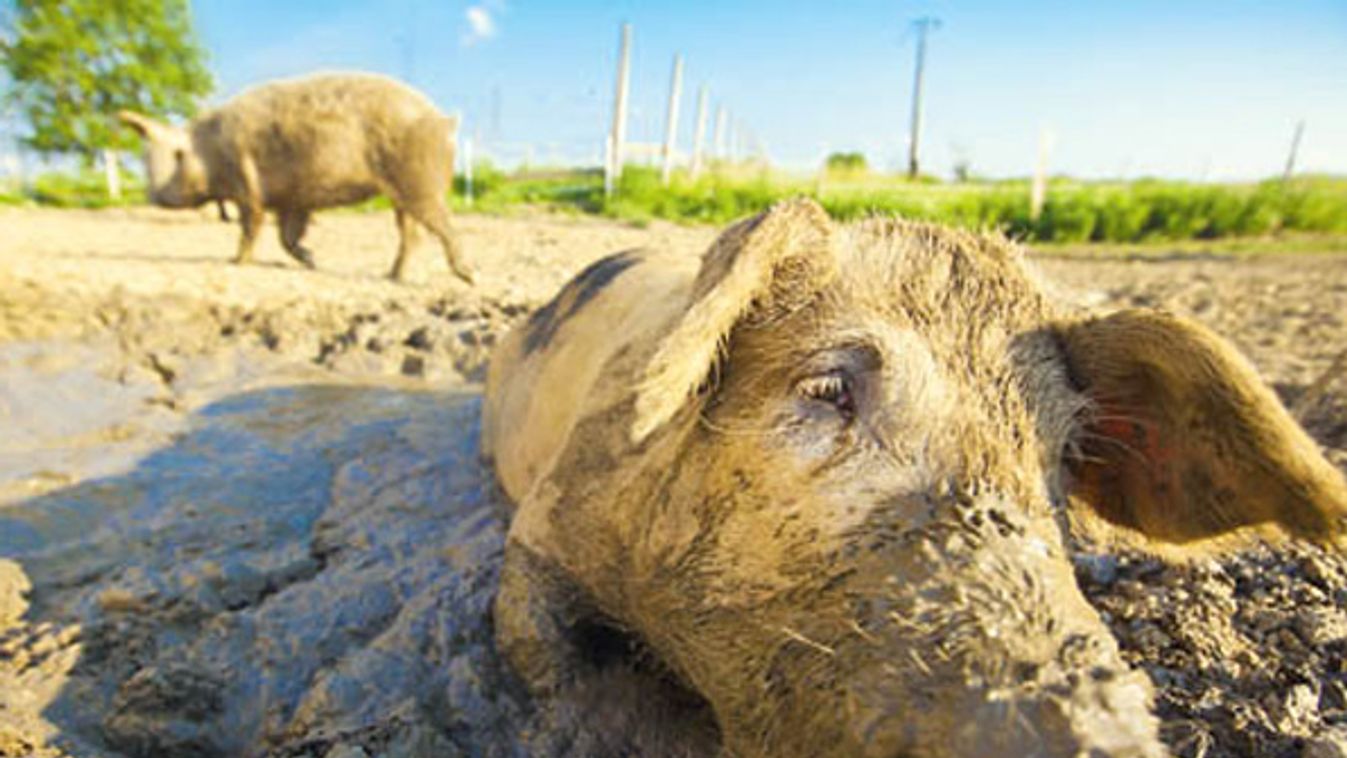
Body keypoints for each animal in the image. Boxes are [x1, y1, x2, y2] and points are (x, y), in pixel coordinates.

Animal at [117, 72, 474, 285]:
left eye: (176, 156)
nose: (151, 195)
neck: (210, 150)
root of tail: (444, 119)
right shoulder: (293, 200)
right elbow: (286, 236)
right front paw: (312, 261)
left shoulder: (246, 185)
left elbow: (251, 226)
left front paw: (236, 262)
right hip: (402, 190)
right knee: (410, 233)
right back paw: (392, 276)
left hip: (420, 180)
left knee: (443, 224)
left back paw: (468, 276)